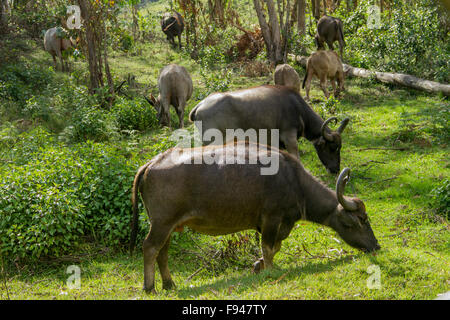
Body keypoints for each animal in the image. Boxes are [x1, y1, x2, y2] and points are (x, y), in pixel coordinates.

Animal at [129, 142, 380, 292]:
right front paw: (268, 269)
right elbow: (268, 247)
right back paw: (149, 287)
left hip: (168, 226)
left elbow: (275, 246)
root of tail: (152, 163)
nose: (376, 245)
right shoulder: (272, 218)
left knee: (162, 253)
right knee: (150, 248)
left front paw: (258, 265)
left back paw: (169, 284)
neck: (295, 181)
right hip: (162, 224)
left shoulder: (277, 223)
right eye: (361, 220)